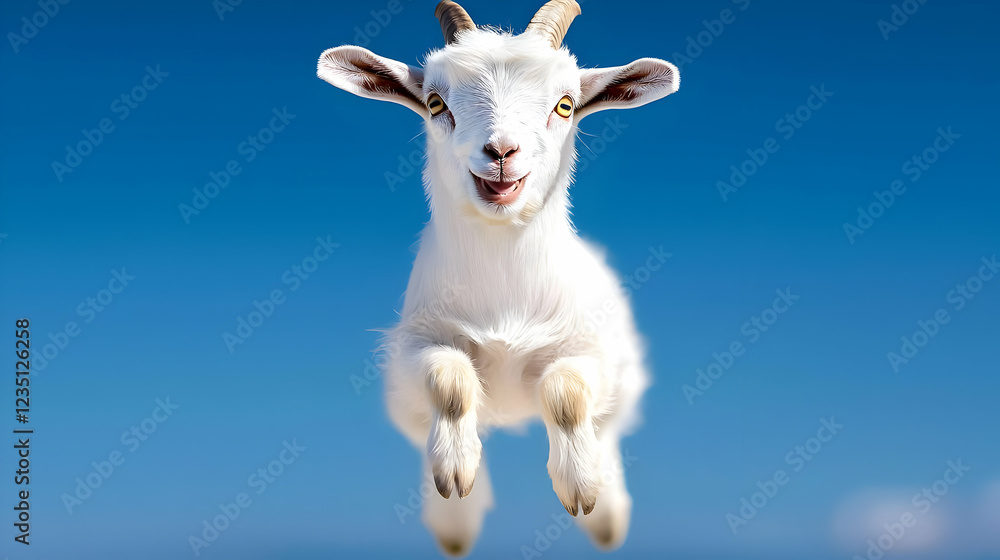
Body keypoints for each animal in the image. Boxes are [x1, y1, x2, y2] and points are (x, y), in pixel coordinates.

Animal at [317, 0, 679, 555]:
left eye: (566, 105)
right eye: (436, 102)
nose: (502, 153)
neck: (505, 299)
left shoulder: (593, 350)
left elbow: (567, 393)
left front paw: (581, 487)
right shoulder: (412, 348)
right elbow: (450, 380)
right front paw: (456, 477)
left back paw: (608, 515)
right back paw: (454, 521)